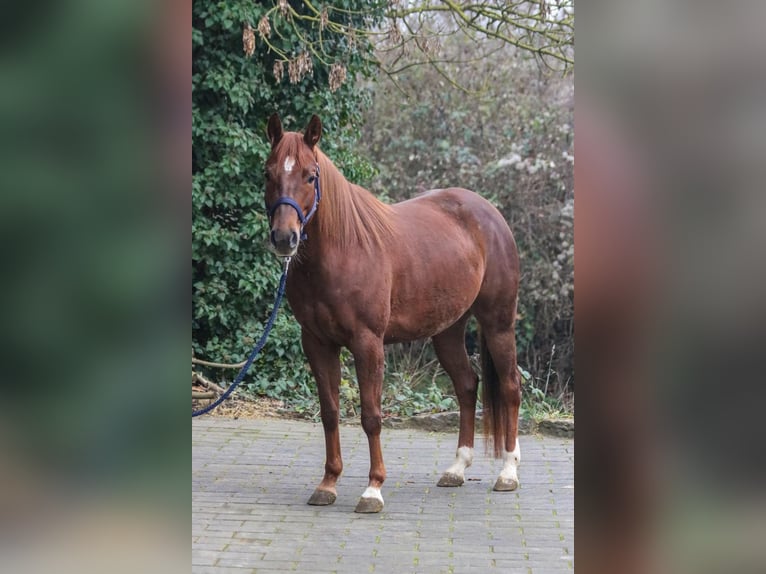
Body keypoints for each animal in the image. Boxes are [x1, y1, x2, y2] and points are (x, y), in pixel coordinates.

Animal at [264, 114, 522, 513]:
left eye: (309, 175)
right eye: (268, 172)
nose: (283, 238)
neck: (343, 249)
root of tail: (489, 212)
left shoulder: (368, 343)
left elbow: (371, 416)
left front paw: (373, 489)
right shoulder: (318, 344)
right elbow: (330, 412)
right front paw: (328, 484)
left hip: (498, 323)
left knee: (510, 387)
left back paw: (508, 471)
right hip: (447, 331)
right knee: (467, 385)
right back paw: (457, 469)